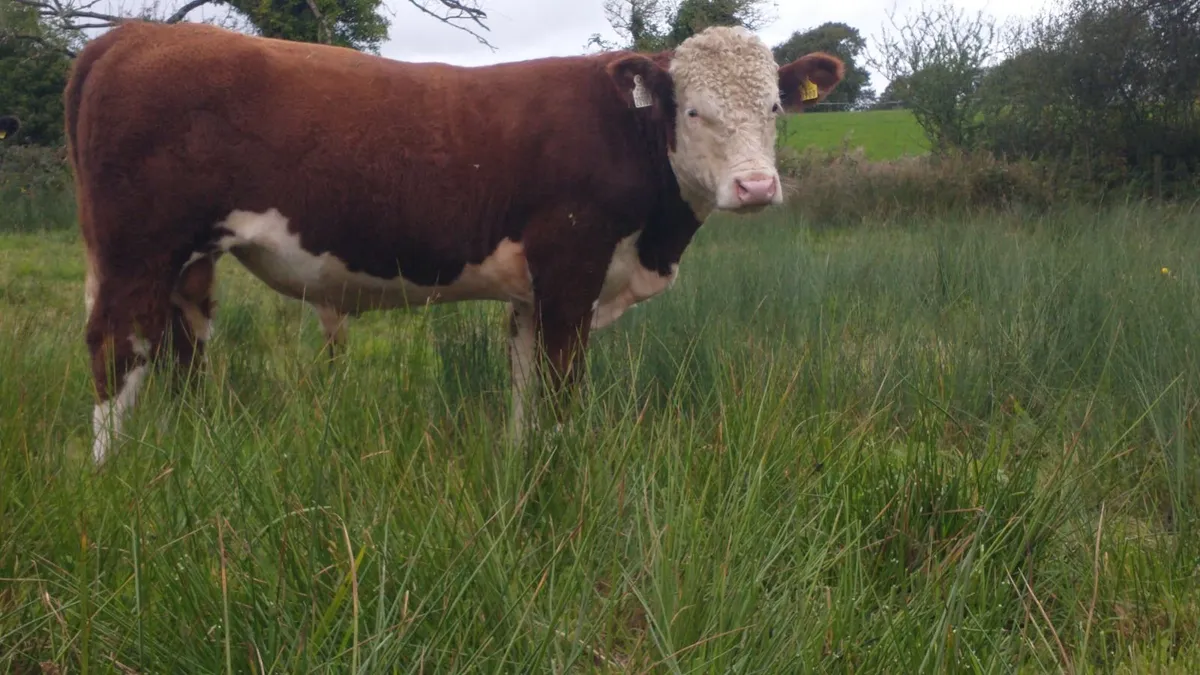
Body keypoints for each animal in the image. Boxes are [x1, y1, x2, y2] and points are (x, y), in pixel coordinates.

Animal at [68, 20, 844, 465]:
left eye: (774, 107)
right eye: (692, 110)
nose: (755, 187)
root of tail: (130, 34)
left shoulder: (534, 291)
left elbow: (527, 385)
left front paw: (524, 464)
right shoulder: (571, 268)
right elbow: (560, 387)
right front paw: (558, 476)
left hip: (188, 260)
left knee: (181, 345)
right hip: (139, 248)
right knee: (116, 347)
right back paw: (112, 475)